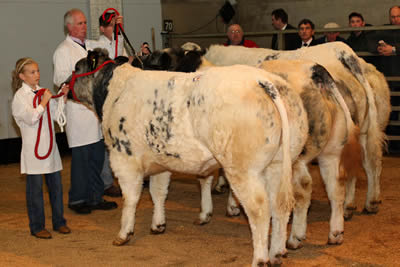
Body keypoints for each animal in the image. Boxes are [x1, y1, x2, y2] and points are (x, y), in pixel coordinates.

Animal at [68, 49, 310, 266]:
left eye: (76, 68)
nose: (63, 86)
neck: (116, 91)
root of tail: (263, 80)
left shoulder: (123, 157)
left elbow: (131, 198)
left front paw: (123, 234)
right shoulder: (160, 160)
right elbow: (158, 192)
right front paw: (158, 225)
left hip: (244, 170)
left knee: (260, 210)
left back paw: (260, 259)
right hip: (278, 164)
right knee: (281, 205)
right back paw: (277, 253)